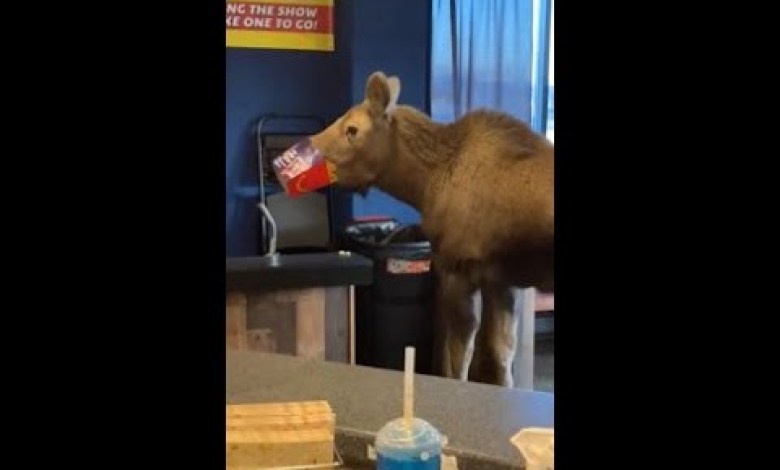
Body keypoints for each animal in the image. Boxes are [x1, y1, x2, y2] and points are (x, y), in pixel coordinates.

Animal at [310, 71, 553, 387]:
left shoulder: (457, 270)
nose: (306, 146)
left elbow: (458, 360)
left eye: (352, 129)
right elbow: (499, 359)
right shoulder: (502, 279)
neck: (424, 185)